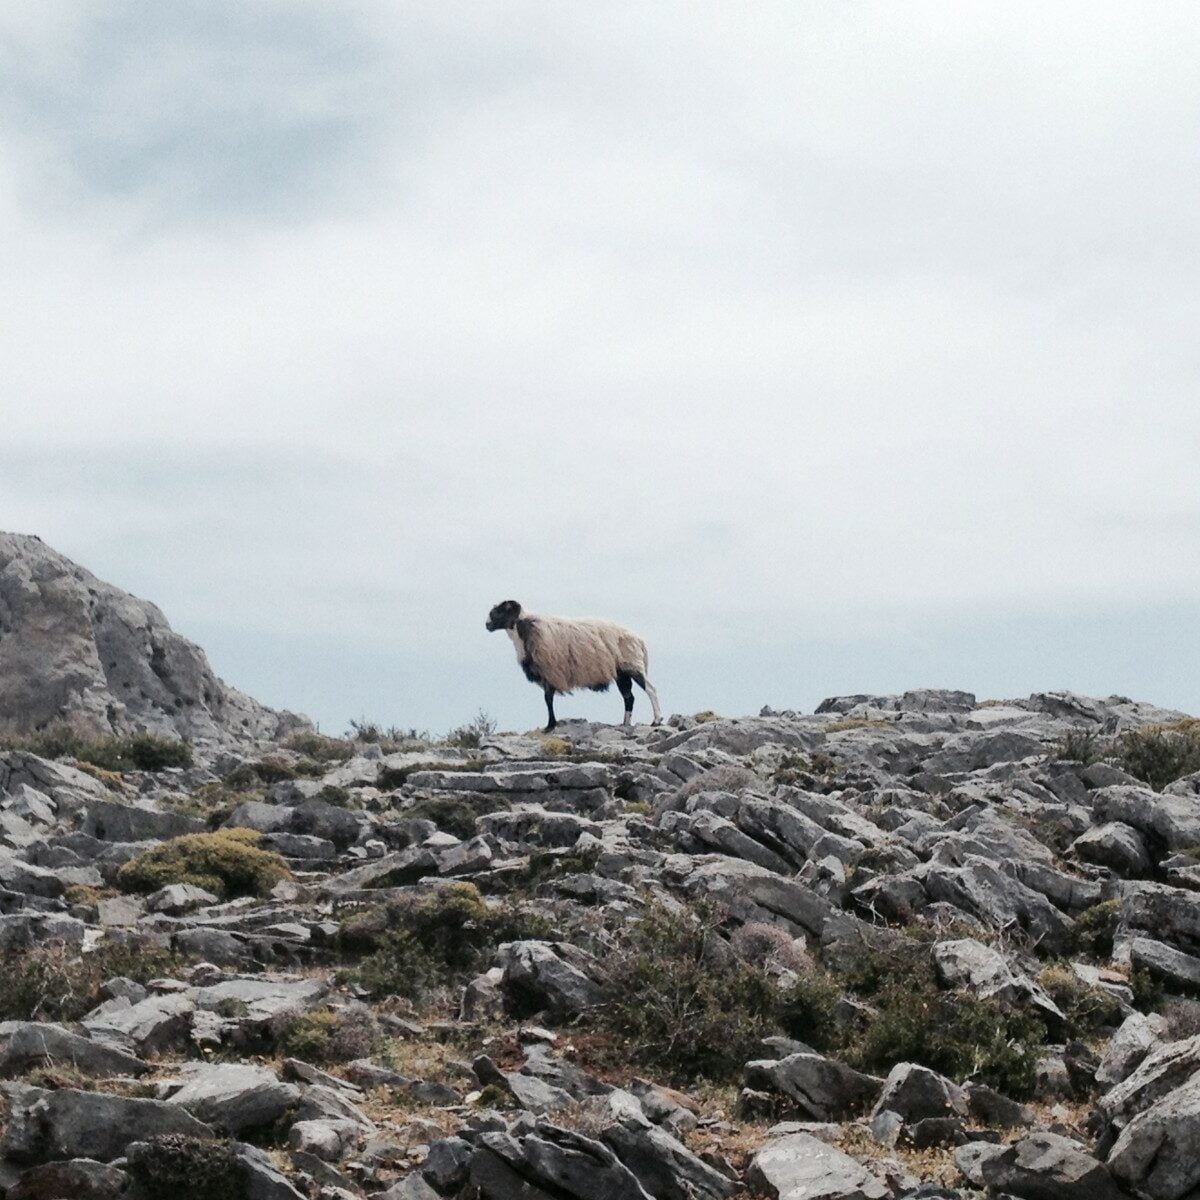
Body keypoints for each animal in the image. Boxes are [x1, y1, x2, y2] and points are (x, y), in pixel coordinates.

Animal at [482, 600, 662, 729]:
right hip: (621, 672)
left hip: (633, 665)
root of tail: (639, 640)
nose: (487, 625)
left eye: (501, 610)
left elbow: (548, 699)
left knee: (650, 689)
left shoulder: (550, 671)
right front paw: (550, 724)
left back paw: (657, 720)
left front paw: (550, 725)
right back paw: (625, 723)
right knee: (629, 697)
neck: (524, 628)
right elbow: (548, 699)